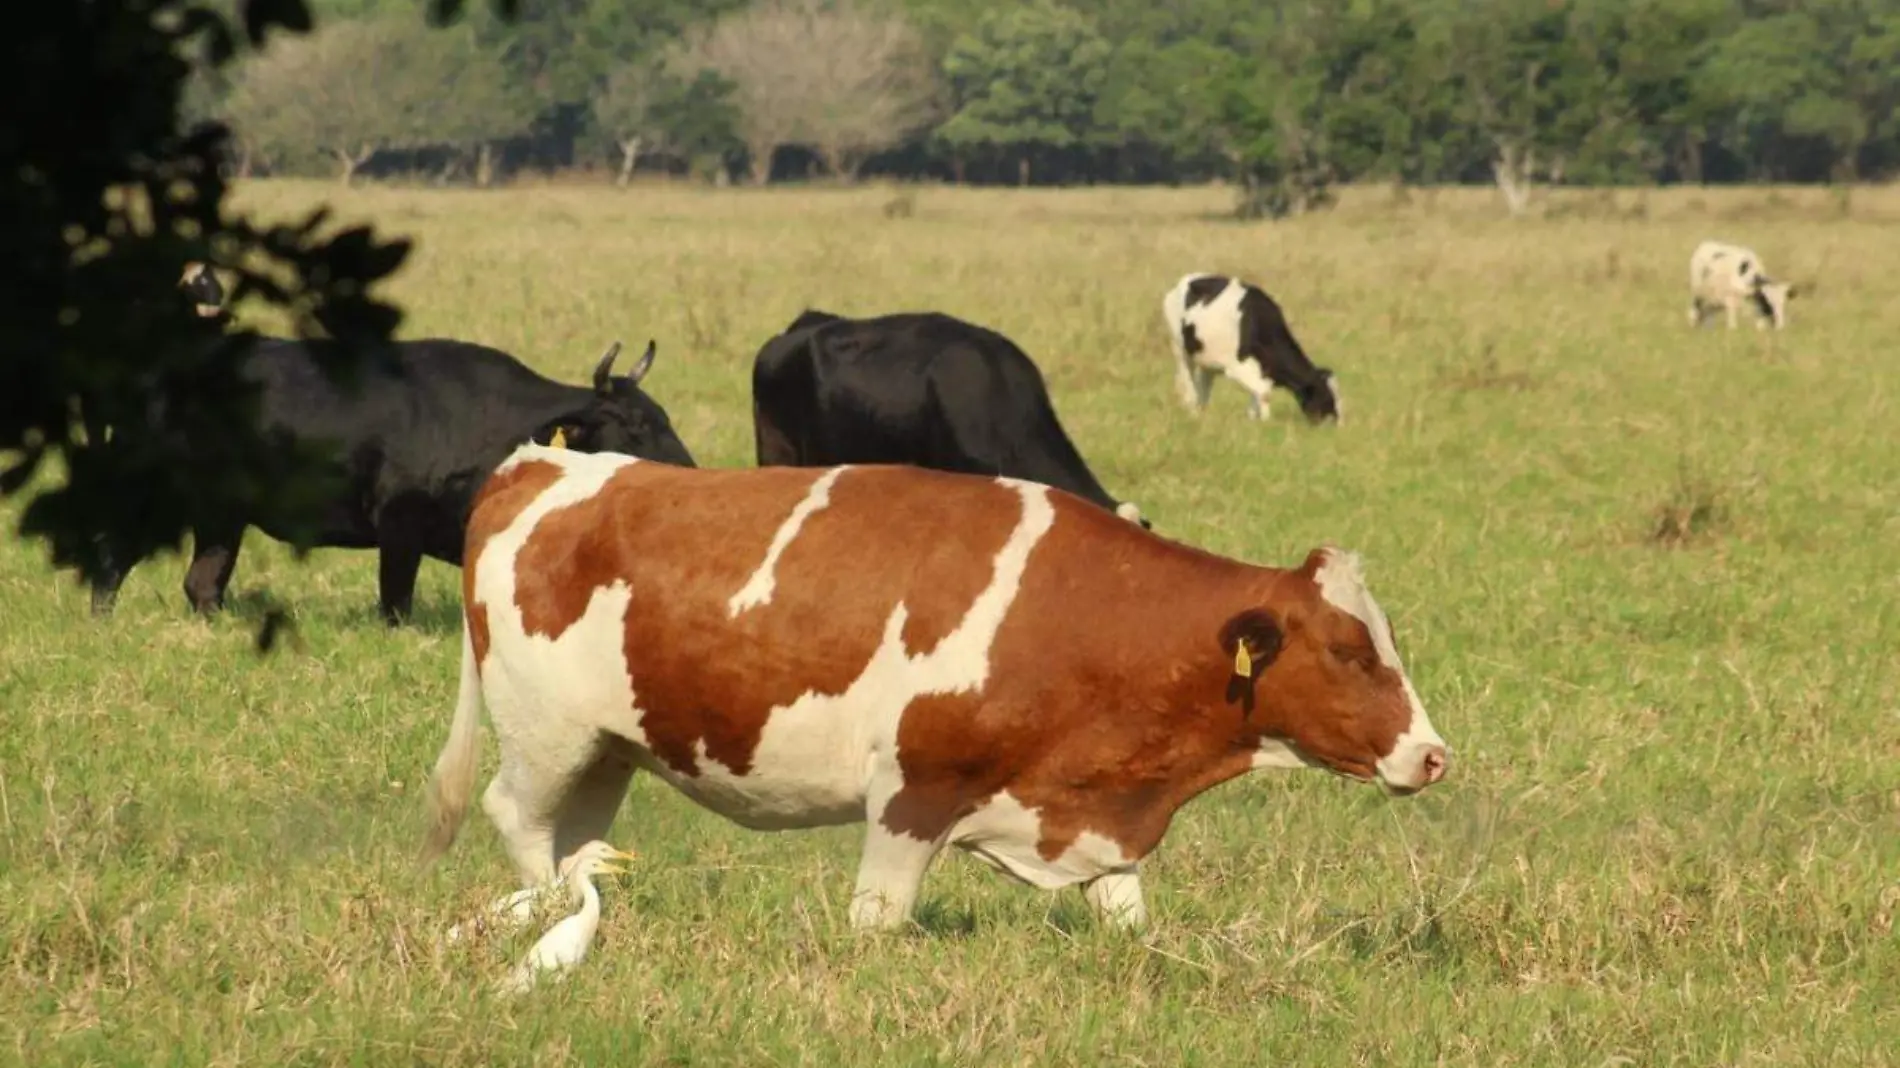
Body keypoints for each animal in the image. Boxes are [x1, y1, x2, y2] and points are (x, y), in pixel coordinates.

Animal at [89, 336, 699, 623]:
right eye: (634, 424)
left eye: (664, 414)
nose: (690, 470)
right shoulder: (399, 526)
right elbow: (395, 605)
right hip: (150, 496)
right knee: (112, 556)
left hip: (223, 516)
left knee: (203, 584)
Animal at [423, 442, 1444, 931]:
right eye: (1351, 652)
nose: (1433, 756)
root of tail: (543, 463)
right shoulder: (911, 795)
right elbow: (877, 921)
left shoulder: (1096, 816)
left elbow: (1128, 919)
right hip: (546, 737)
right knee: (520, 820)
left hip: (607, 751)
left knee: (576, 836)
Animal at [1155, 271, 1337, 421]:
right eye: (1325, 396)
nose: (1336, 424)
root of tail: (1184, 280)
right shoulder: (1236, 367)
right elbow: (1264, 393)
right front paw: (1266, 422)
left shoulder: (1261, 370)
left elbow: (1257, 395)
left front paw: (1253, 419)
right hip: (1180, 349)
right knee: (1188, 383)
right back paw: (1192, 412)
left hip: (1206, 357)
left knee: (1204, 387)